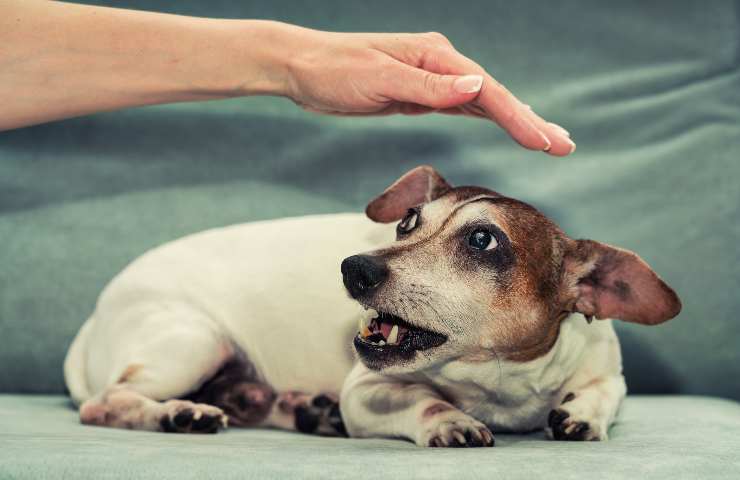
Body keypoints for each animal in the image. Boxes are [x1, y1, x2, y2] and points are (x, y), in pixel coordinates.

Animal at [65, 165, 684, 446]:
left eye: (484, 240)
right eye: (408, 223)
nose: (354, 267)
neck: (497, 383)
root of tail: (93, 319)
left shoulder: (606, 369)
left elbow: (605, 392)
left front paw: (583, 414)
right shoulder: (367, 390)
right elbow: (425, 403)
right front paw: (450, 420)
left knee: (244, 399)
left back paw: (303, 409)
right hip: (193, 341)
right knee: (104, 403)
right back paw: (179, 413)